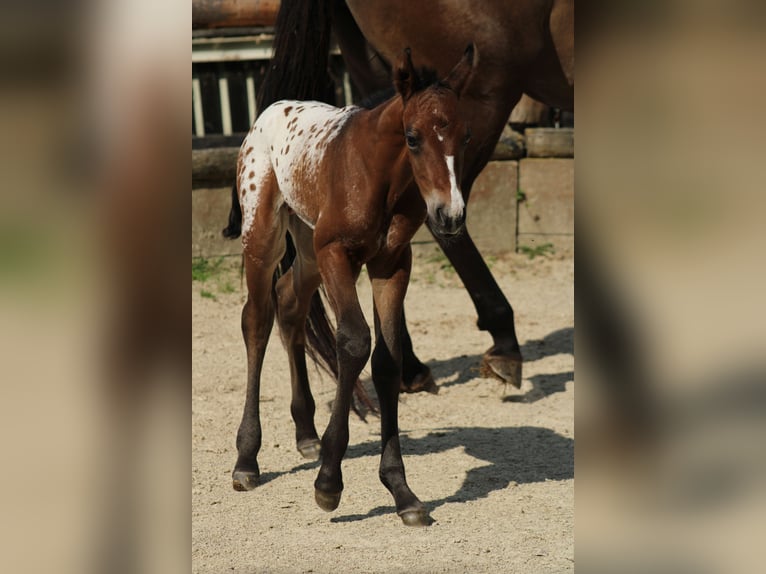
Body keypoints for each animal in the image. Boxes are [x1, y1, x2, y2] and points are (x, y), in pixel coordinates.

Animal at [232, 46, 476, 526]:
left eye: (465, 137)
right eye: (413, 137)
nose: (451, 215)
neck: (379, 175)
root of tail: (270, 111)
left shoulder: (392, 264)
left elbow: (387, 359)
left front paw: (401, 490)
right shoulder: (337, 255)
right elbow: (354, 340)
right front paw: (329, 483)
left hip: (308, 248)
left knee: (290, 304)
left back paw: (306, 432)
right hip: (264, 237)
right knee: (257, 320)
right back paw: (247, 459)